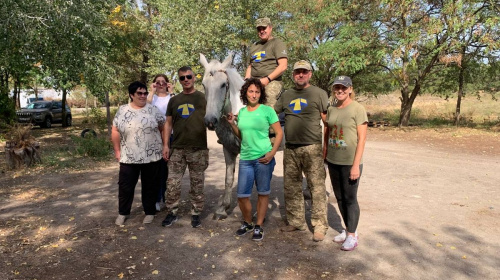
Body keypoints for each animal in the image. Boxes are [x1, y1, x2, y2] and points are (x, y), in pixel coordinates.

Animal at [200, 52, 245, 219]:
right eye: (203, 85)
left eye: (223, 85)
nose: (210, 121)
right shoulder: (228, 148)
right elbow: (228, 178)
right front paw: (223, 208)